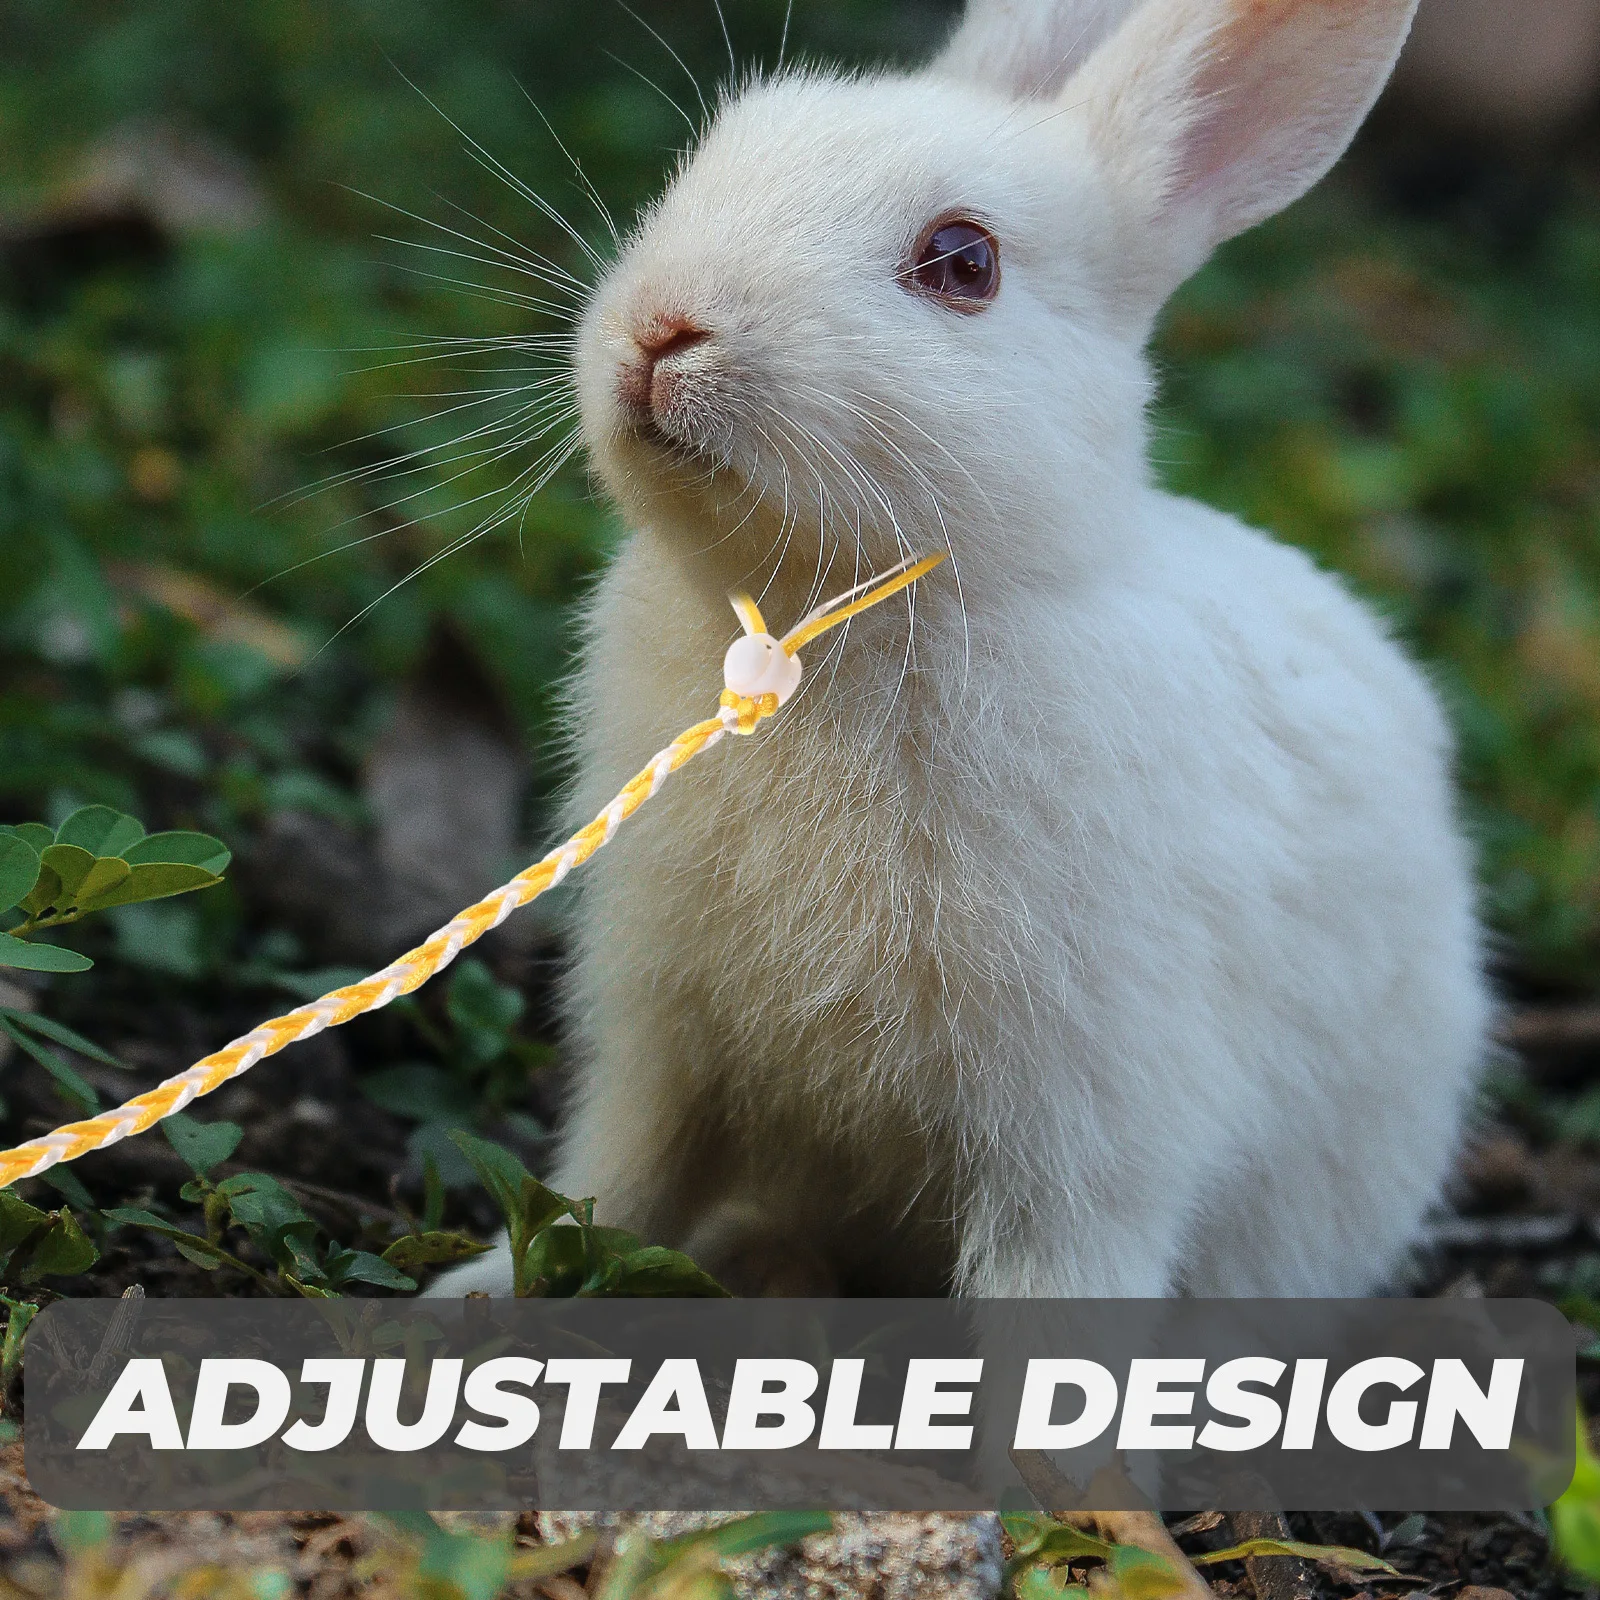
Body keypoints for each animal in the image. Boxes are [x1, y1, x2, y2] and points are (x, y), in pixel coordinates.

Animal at [429, 0, 1489, 1303]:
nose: (662, 328)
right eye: (708, 160)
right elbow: (614, 1179)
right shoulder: (663, 1039)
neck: (819, 621)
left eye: (962, 263)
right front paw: (478, 1293)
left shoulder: (1083, 1130)